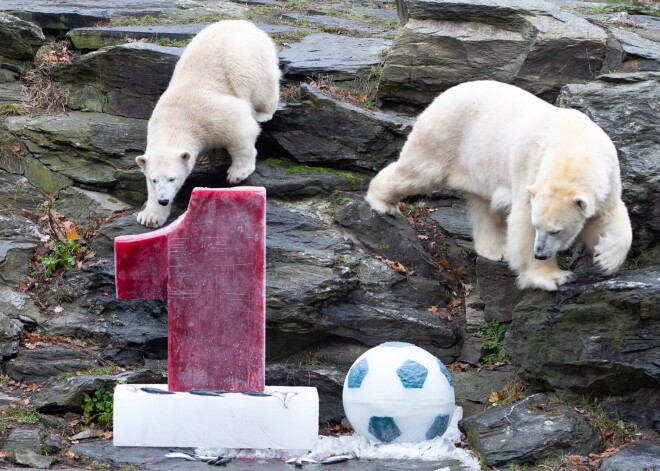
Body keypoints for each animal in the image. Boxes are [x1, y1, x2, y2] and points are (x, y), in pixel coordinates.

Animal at [135, 20, 280, 229]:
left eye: (172, 178)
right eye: (154, 180)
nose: (163, 200)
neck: (176, 121)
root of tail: (244, 23)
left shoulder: (212, 114)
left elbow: (240, 128)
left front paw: (237, 174)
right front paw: (150, 216)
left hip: (250, 61)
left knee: (262, 87)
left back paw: (264, 113)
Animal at [366, 81, 636, 292]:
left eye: (556, 231)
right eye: (539, 227)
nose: (540, 253)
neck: (574, 146)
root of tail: (443, 94)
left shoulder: (608, 176)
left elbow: (608, 215)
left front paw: (606, 260)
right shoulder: (530, 168)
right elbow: (522, 222)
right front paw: (553, 277)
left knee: (485, 206)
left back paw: (495, 250)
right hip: (445, 135)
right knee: (419, 172)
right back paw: (383, 202)